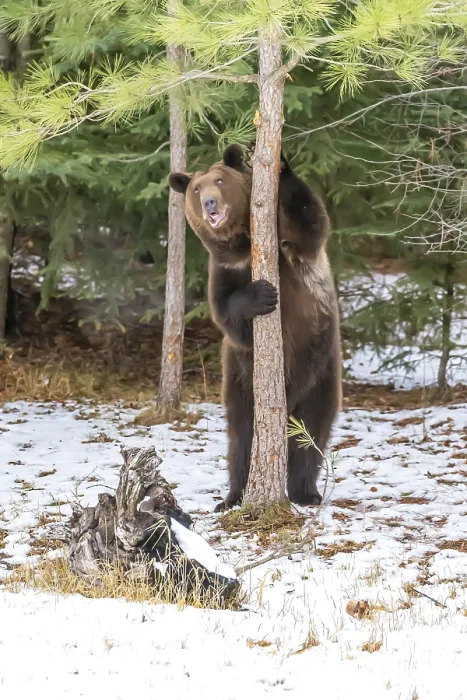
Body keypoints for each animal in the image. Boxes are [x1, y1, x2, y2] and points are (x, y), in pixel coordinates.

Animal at [169, 144, 341, 511]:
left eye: (220, 180)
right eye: (196, 188)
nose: (210, 203)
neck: (243, 245)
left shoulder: (290, 247)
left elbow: (311, 221)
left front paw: (280, 164)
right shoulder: (224, 270)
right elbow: (226, 314)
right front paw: (260, 295)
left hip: (321, 368)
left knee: (312, 430)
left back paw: (306, 492)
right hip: (241, 379)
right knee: (243, 436)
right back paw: (233, 496)